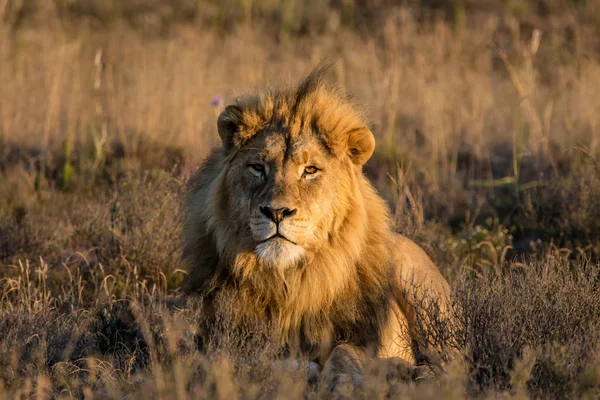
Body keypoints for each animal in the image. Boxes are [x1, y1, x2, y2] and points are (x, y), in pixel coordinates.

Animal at [183, 67, 454, 390]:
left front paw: (343, 379)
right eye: (258, 167)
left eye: (310, 170)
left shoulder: (361, 335)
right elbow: (227, 359)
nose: (276, 212)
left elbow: (344, 350)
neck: (290, 283)